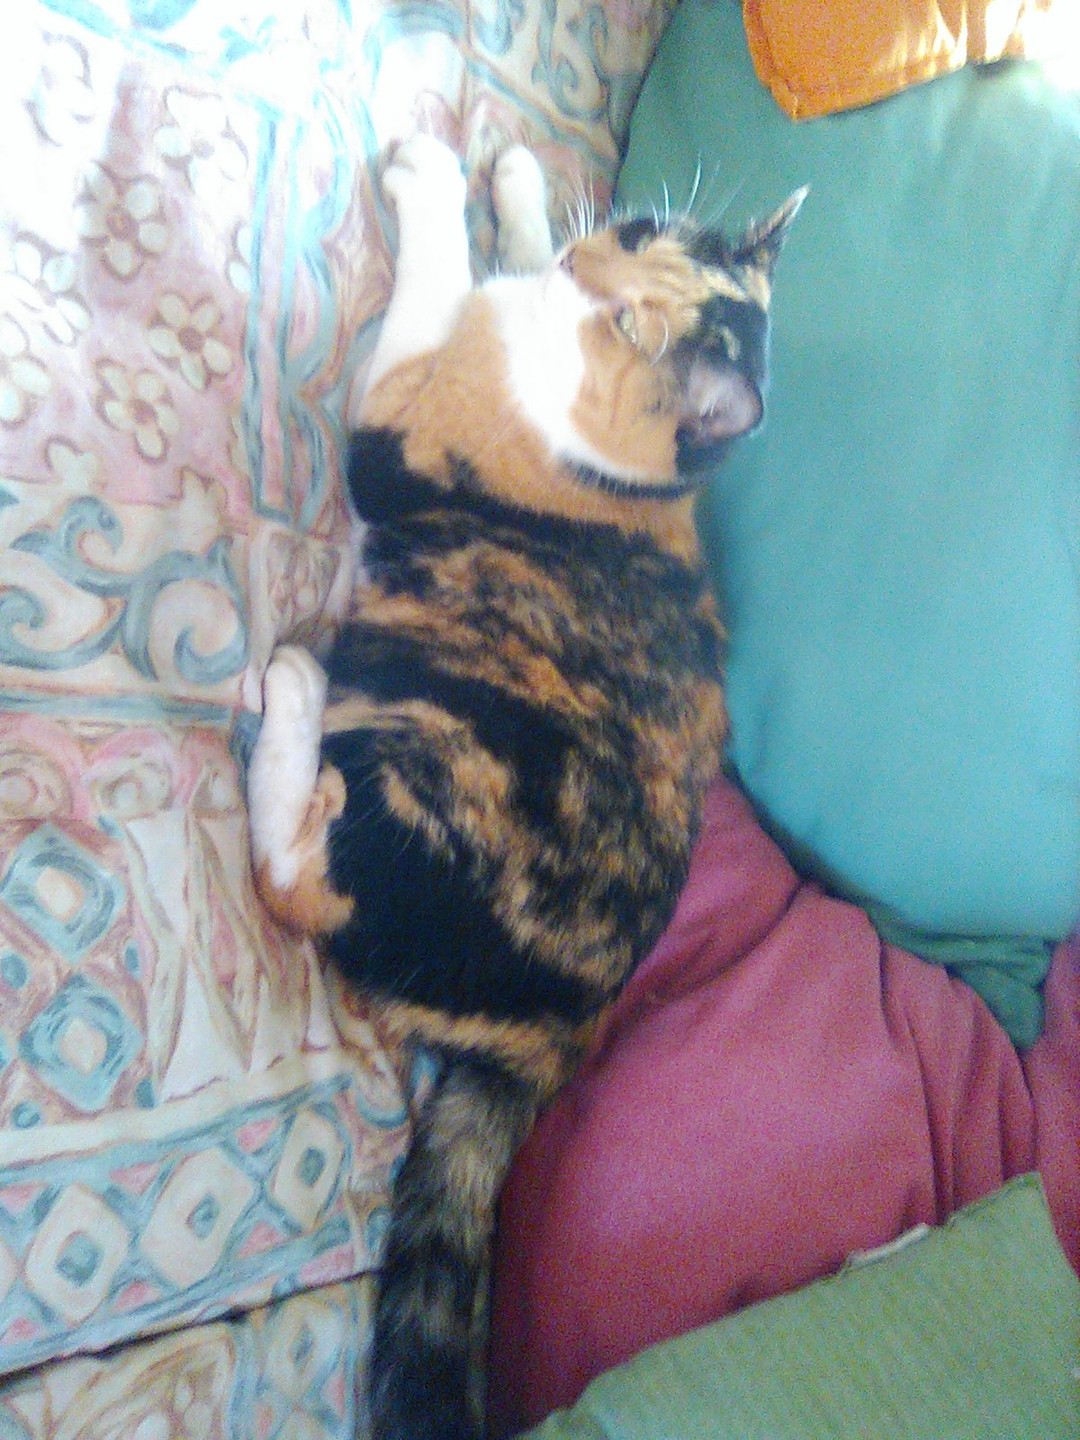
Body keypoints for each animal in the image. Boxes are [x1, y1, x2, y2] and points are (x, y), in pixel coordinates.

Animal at [246, 135, 802, 1440]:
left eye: (632, 323)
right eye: (644, 236)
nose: (589, 263)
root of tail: (558, 1033)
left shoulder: (399, 420)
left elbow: (437, 288)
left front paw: (432, 180)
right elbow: (507, 240)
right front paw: (514, 187)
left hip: (427, 777)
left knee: (300, 876)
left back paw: (292, 683)